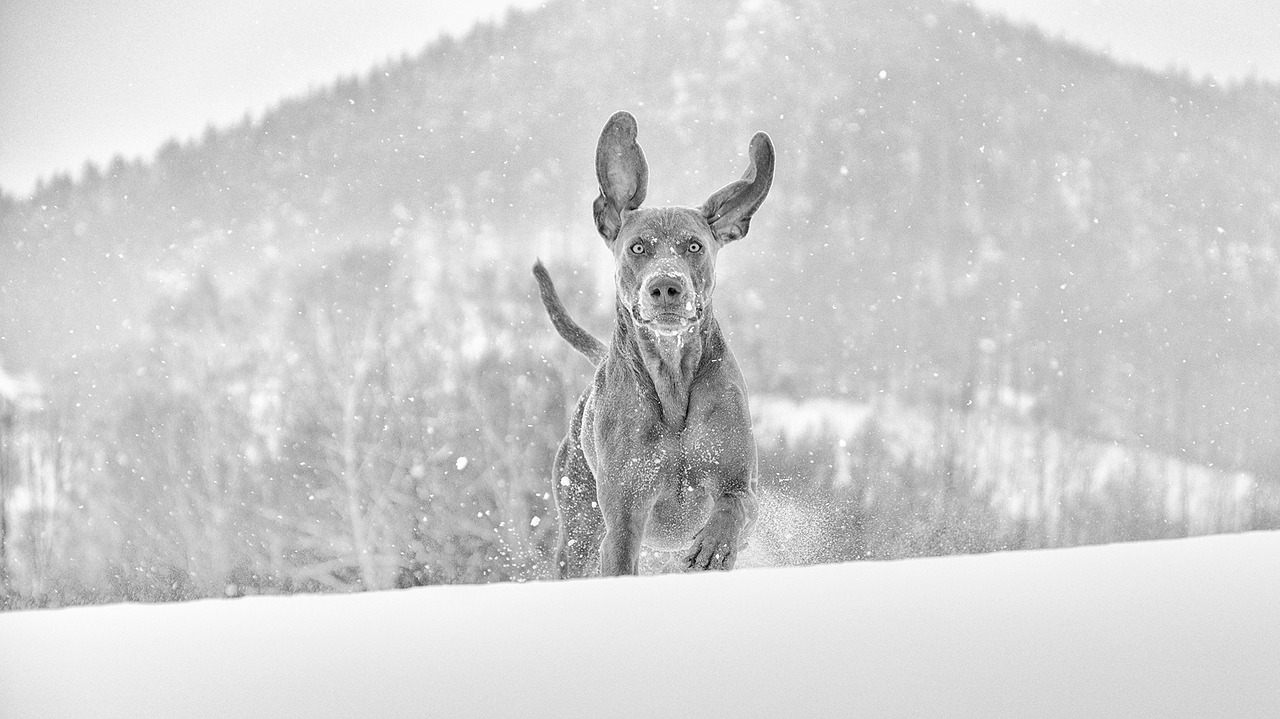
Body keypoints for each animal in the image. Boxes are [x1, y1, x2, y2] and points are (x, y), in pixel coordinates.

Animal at [529, 109, 768, 573]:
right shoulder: (623, 519)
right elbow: (621, 554)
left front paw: (712, 545)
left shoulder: (739, 484)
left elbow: (732, 509)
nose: (665, 286)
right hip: (577, 526)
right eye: (638, 248)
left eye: (694, 246)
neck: (672, 378)